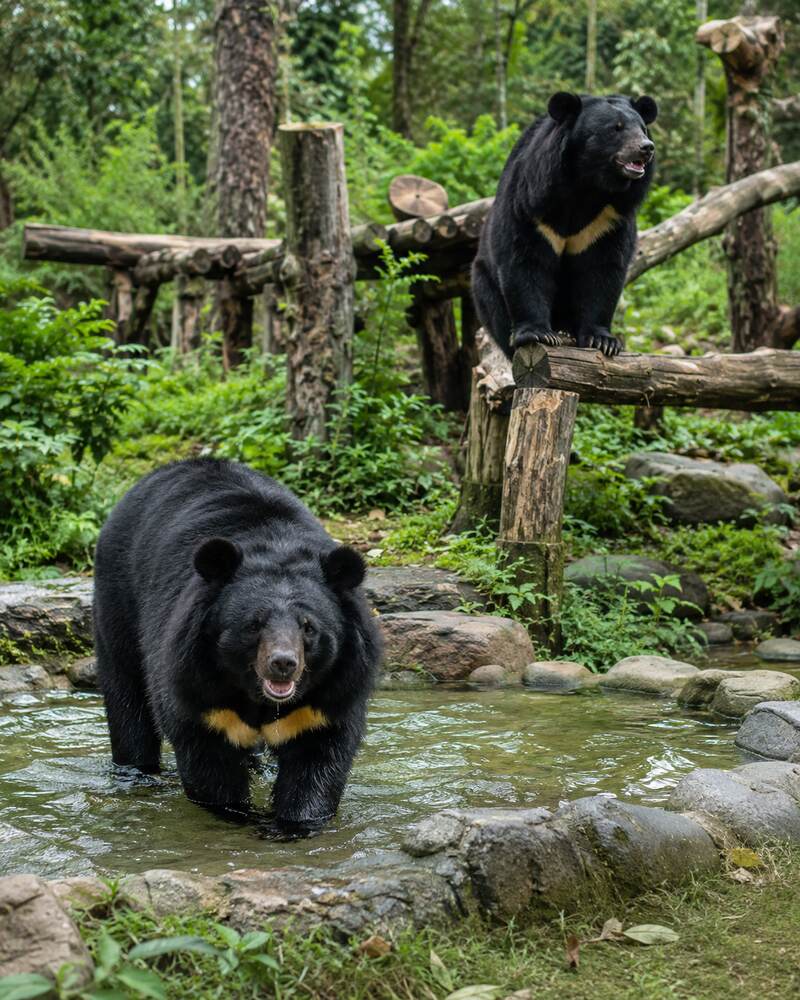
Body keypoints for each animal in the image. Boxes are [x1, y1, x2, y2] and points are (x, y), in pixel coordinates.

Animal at [93, 458, 382, 834]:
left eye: (308, 627)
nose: (283, 663)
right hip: (118, 600)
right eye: (254, 625)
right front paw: (238, 815)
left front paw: (293, 824)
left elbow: (318, 759)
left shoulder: (333, 691)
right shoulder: (195, 678)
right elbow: (209, 759)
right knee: (126, 695)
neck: (256, 695)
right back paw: (136, 773)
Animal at [472, 91, 657, 358]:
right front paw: (538, 333)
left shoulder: (609, 219)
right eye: (616, 128)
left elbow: (601, 269)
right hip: (482, 281)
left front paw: (602, 340)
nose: (646, 148)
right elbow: (526, 260)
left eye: (643, 128)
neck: (589, 186)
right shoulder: (532, 205)